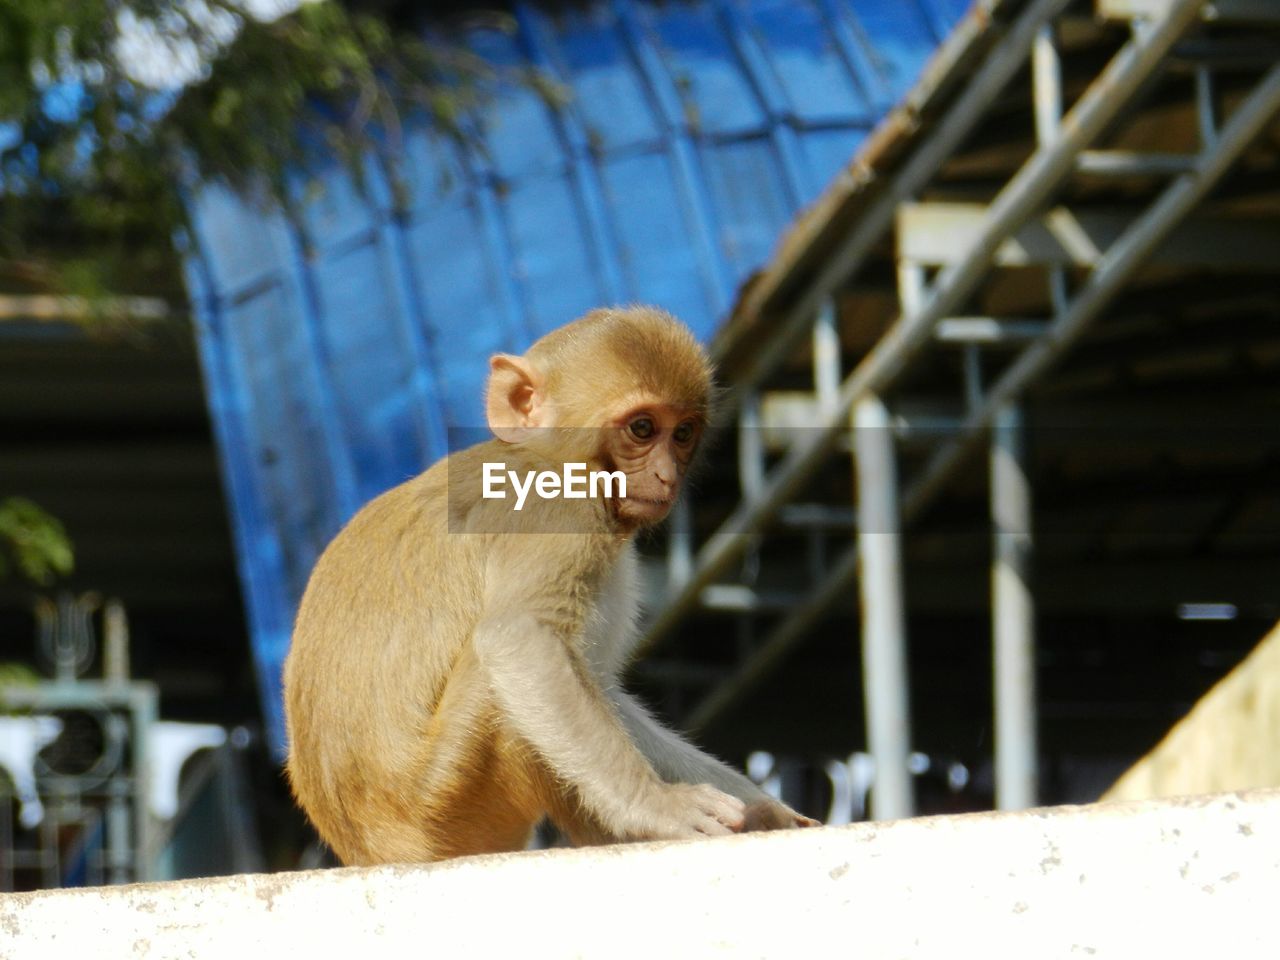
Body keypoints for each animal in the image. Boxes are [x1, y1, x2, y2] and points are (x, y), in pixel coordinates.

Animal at [284, 305, 814, 865]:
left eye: (683, 433)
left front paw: (766, 811)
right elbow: (522, 638)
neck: (552, 456)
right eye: (642, 428)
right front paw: (657, 805)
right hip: (444, 804)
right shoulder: (557, 511)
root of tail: (372, 851)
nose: (667, 476)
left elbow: (598, 685)